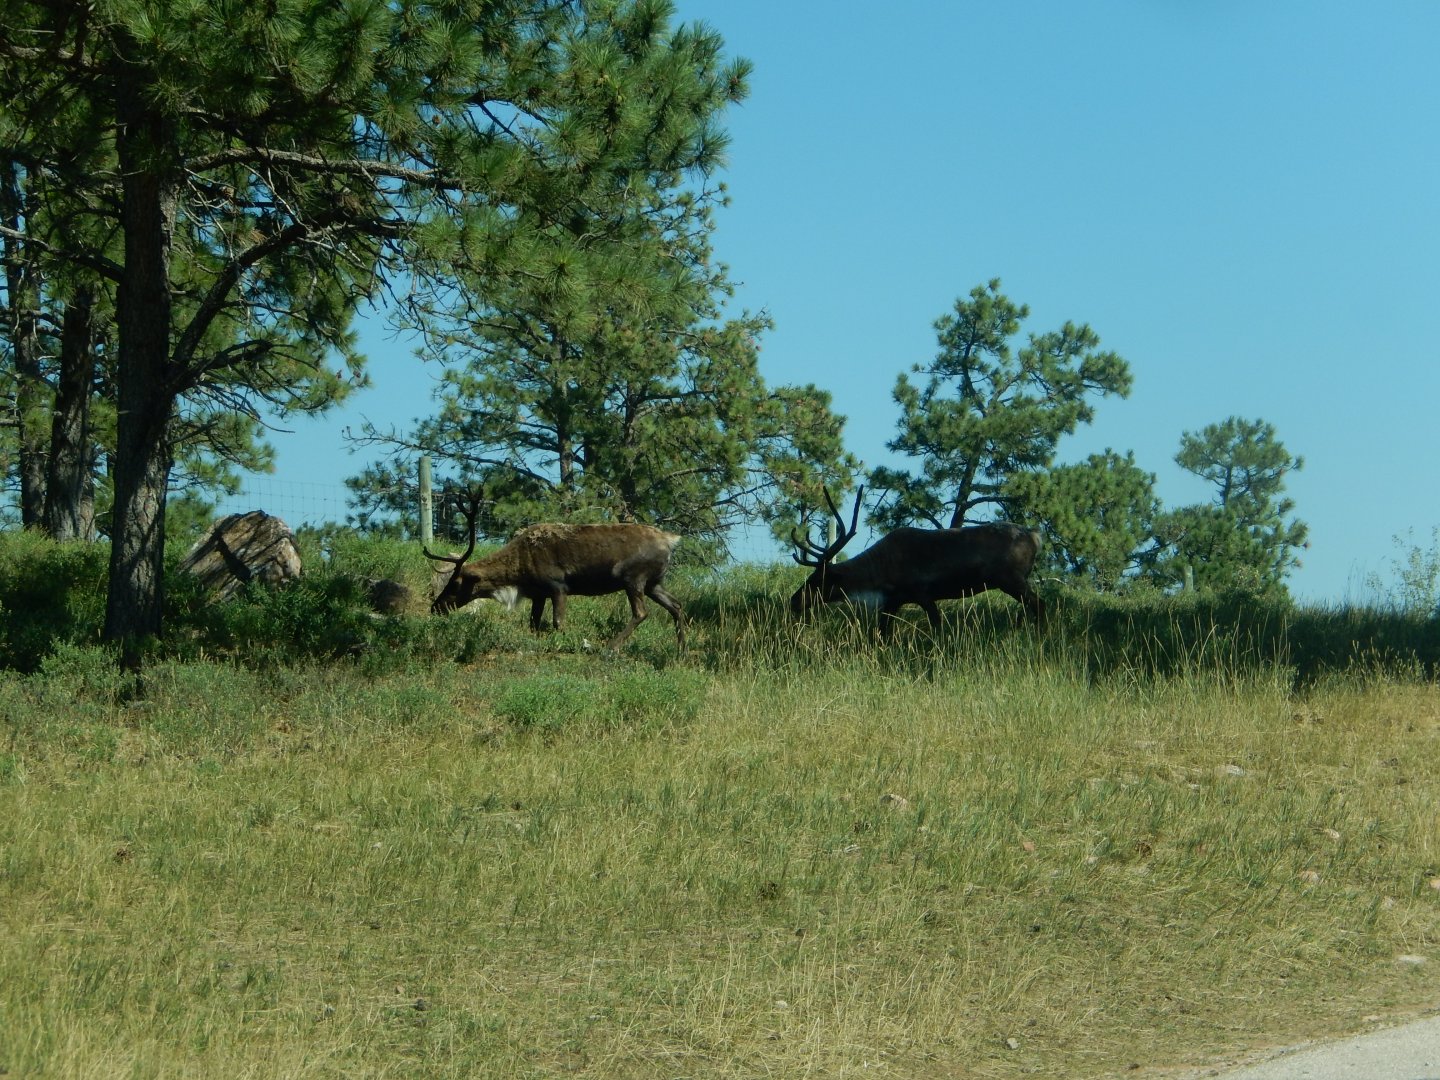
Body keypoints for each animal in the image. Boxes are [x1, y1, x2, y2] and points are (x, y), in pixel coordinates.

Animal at [424, 494, 686, 650]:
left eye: (455, 583)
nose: (435, 607)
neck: (517, 573)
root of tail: (670, 540)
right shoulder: (538, 594)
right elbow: (533, 624)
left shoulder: (558, 586)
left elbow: (558, 622)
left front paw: (574, 643)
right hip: (654, 582)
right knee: (676, 605)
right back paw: (681, 650)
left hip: (634, 578)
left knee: (641, 612)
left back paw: (610, 647)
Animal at [790, 487, 1044, 640]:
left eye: (818, 579)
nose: (794, 601)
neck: (879, 574)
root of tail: (1035, 536)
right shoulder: (892, 602)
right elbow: (881, 634)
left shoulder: (923, 594)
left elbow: (937, 626)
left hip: (1012, 580)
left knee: (1040, 603)